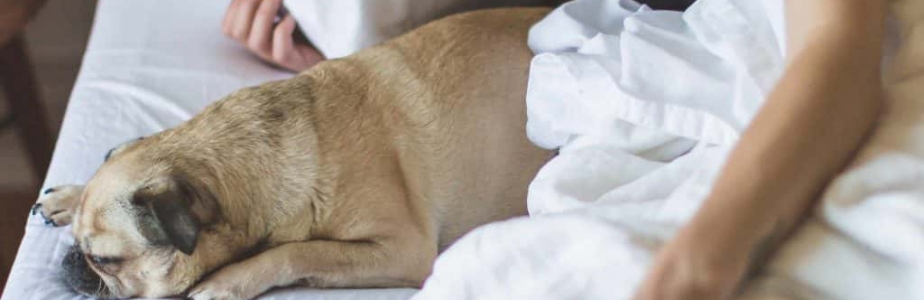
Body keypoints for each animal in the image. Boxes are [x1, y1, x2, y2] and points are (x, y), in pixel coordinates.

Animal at [34, 7, 556, 300]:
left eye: (104, 261)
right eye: (80, 248)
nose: (68, 262)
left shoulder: (402, 249)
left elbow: (301, 250)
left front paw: (230, 281)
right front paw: (70, 197)